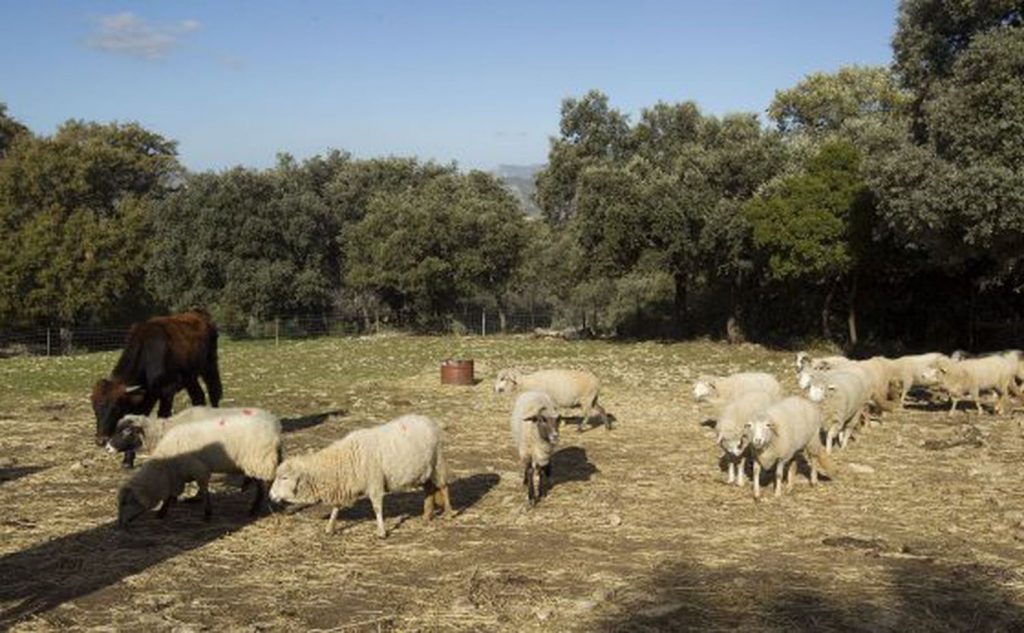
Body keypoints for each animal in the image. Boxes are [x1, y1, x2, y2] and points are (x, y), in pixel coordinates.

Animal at [92, 307, 222, 465]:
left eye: (116, 407)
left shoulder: (166, 392)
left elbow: (162, 417)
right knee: (198, 397)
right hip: (190, 377)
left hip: (210, 364)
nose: (100, 440)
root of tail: (198, 313)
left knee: (214, 392)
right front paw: (128, 460)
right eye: (95, 409)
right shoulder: (148, 395)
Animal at [268, 413, 452, 536]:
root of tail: (426, 419)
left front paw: (381, 531)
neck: (344, 460)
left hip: (438, 462)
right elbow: (336, 507)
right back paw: (426, 516)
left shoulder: (375, 483)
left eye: (284, 477)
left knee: (443, 487)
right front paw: (330, 528)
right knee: (429, 490)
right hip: (424, 470)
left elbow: (377, 507)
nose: (270, 495)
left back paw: (449, 513)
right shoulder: (342, 485)